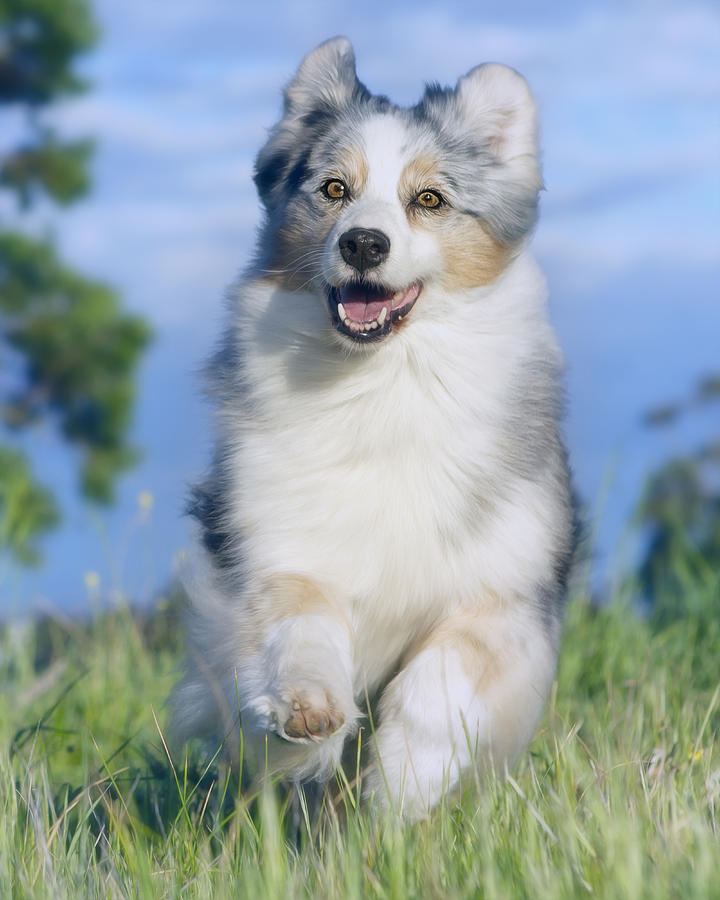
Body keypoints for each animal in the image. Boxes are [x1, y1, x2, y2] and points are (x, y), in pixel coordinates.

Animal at [172, 38, 576, 820]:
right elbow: (301, 624)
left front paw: (402, 784)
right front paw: (307, 709)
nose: (363, 243)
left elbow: (441, 683)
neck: (381, 381)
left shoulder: (502, 594)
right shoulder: (275, 553)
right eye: (333, 189)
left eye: (429, 200)